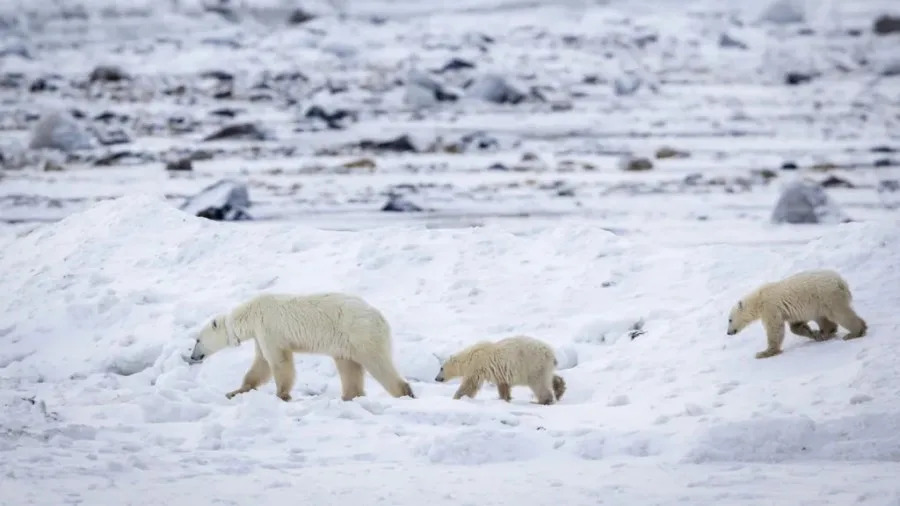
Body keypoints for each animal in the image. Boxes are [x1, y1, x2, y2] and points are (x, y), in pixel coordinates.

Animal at [189, 292, 415, 402]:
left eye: (197, 340)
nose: (192, 356)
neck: (250, 313)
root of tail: (381, 318)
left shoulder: (268, 327)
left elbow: (278, 361)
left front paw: (282, 395)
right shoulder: (260, 335)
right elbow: (261, 365)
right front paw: (234, 391)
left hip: (359, 333)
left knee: (377, 364)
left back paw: (404, 392)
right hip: (345, 343)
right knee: (349, 367)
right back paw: (349, 397)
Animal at [434, 335, 566, 405]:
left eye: (441, 368)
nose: (436, 378)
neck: (469, 356)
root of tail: (550, 353)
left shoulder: (477, 365)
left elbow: (470, 384)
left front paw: (456, 398)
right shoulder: (499, 372)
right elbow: (503, 385)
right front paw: (505, 398)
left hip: (532, 363)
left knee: (538, 383)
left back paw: (544, 400)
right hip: (541, 366)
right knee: (547, 377)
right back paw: (559, 388)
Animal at [726, 269, 867, 359]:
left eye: (729, 320)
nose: (728, 332)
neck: (758, 299)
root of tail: (841, 282)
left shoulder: (771, 308)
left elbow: (775, 329)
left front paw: (764, 353)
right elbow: (795, 326)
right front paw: (813, 333)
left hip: (827, 296)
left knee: (839, 314)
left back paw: (854, 332)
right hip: (820, 302)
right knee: (823, 318)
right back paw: (825, 333)